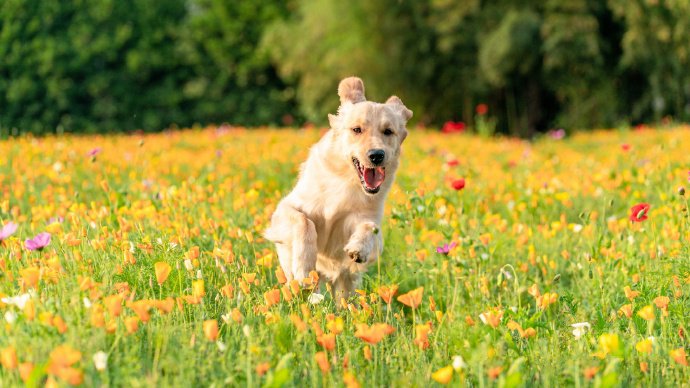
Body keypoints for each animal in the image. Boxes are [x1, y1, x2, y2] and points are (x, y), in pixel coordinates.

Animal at [262, 76, 412, 300]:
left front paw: (358, 249)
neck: (347, 182)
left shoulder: (365, 219)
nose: (377, 155)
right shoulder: (286, 209)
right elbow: (304, 222)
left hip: (345, 285)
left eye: (388, 131)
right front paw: (304, 267)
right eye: (357, 129)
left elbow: (371, 227)